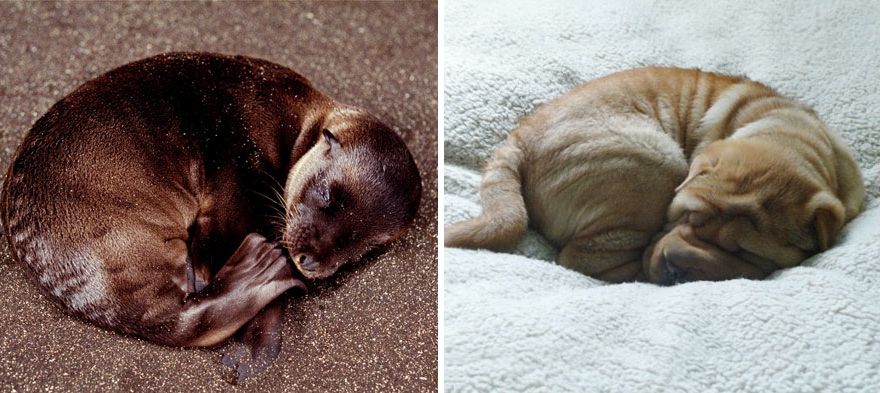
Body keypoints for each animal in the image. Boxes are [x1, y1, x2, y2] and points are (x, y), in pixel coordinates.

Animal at [3, 52, 422, 380]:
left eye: (362, 250)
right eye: (325, 195)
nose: (311, 261)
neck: (290, 120)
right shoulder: (239, 168)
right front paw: (251, 349)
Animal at [444, 66, 864, 284]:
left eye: (744, 251)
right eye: (684, 215)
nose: (676, 265)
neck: (788, 132)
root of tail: (518, 140)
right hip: (656, 163)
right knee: (584, 257)